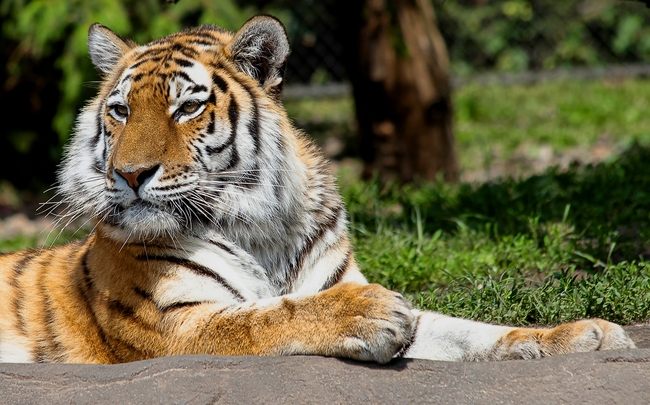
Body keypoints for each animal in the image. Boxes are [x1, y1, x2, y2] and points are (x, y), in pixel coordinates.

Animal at [0, 15, 636, 364]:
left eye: (186, 107)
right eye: (121, 112)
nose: (130, 175)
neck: (259, 227)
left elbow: (469, 331)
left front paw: (585, 335)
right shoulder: (174, 324)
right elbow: (265, 317)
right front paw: (366, 313)